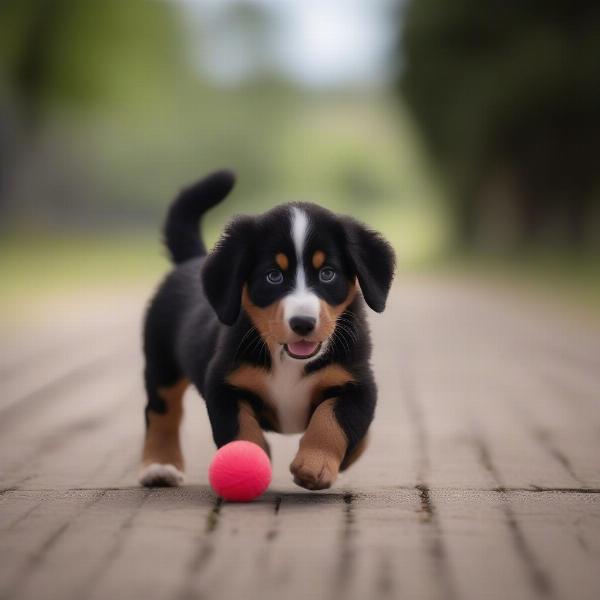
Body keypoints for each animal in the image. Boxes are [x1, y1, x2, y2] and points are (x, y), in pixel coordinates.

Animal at [138, 171, 396, 490]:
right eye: (273, 276)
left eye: (327, 274)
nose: (302, 323)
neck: (287, 360)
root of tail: (191, 260)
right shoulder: (224, 384)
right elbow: (240, 430)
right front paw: (245, 464)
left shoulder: (356, 382)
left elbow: (333, 421)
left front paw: (316, 463)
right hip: (161, 363)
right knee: (161, 412)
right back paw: (159, 466)